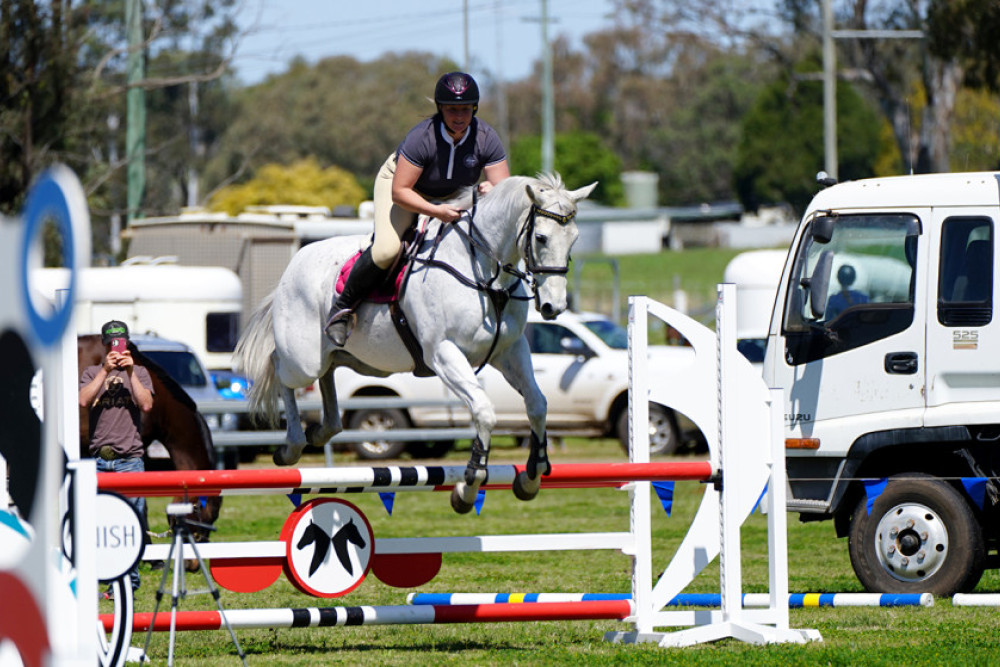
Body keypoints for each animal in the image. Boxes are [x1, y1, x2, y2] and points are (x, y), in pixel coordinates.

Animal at [234, 172, 592, 512]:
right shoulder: (444, 354)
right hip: (304, 359)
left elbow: (538, 405)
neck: (485, 275)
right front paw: (468, 486)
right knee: (281, 370)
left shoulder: (510, 351)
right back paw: (292, 445)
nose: (554, 307)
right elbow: (484, 411)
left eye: (575, 239)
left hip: (356, 360)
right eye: (541, 238)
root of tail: (293, 265)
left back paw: (323, 430)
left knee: (329, 374)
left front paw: (532, 476)